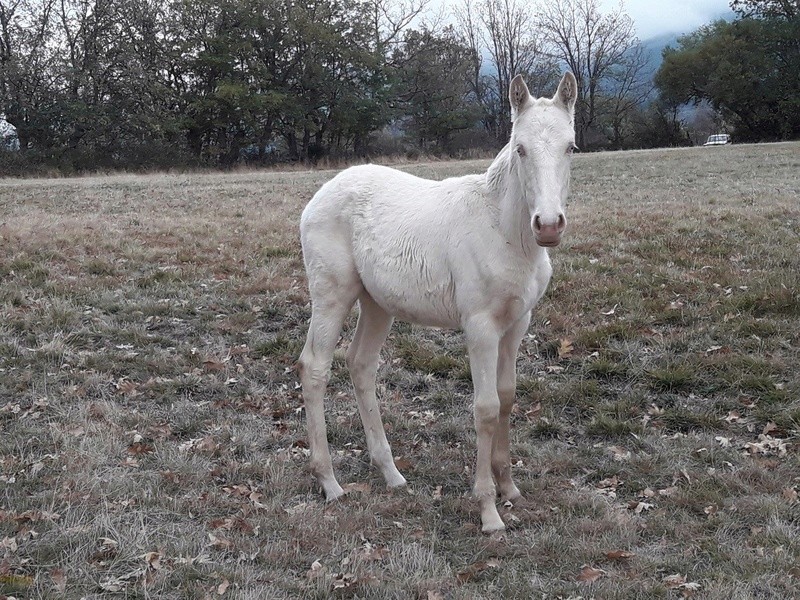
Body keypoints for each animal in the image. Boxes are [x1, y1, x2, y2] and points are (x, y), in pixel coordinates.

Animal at [296, 71, 580, 536]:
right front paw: (488, 510)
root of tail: (321, 194)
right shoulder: (480, 326)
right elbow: (486, 408)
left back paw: (391, 473)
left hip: (377, 303)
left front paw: (509, 487)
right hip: (331, 293)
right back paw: (330, 482)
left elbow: (508, 396)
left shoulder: (517, 323)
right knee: (314, 366)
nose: (549, 225)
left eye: (571, 147)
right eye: (520, 148)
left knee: (360, 364)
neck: (504, 231)